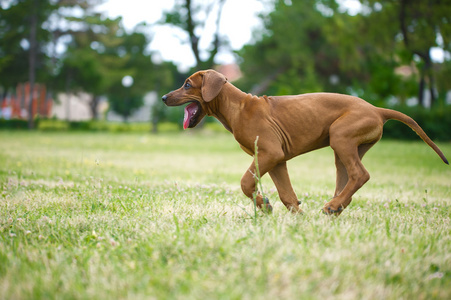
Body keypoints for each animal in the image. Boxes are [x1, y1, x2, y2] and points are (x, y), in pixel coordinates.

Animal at [162, 69, 448, 216]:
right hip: (345, 148)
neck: (238, 107)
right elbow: (286, 193)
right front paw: (296, 216)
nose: (164, 97)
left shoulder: (269, 153)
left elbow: (246, 182)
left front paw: (263, 205)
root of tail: (377, 109)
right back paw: (336, 207)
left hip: (341, 136)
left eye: (187, 84)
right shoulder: (276, 159)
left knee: (361, 174)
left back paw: (333, 205)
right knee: (348, 180)